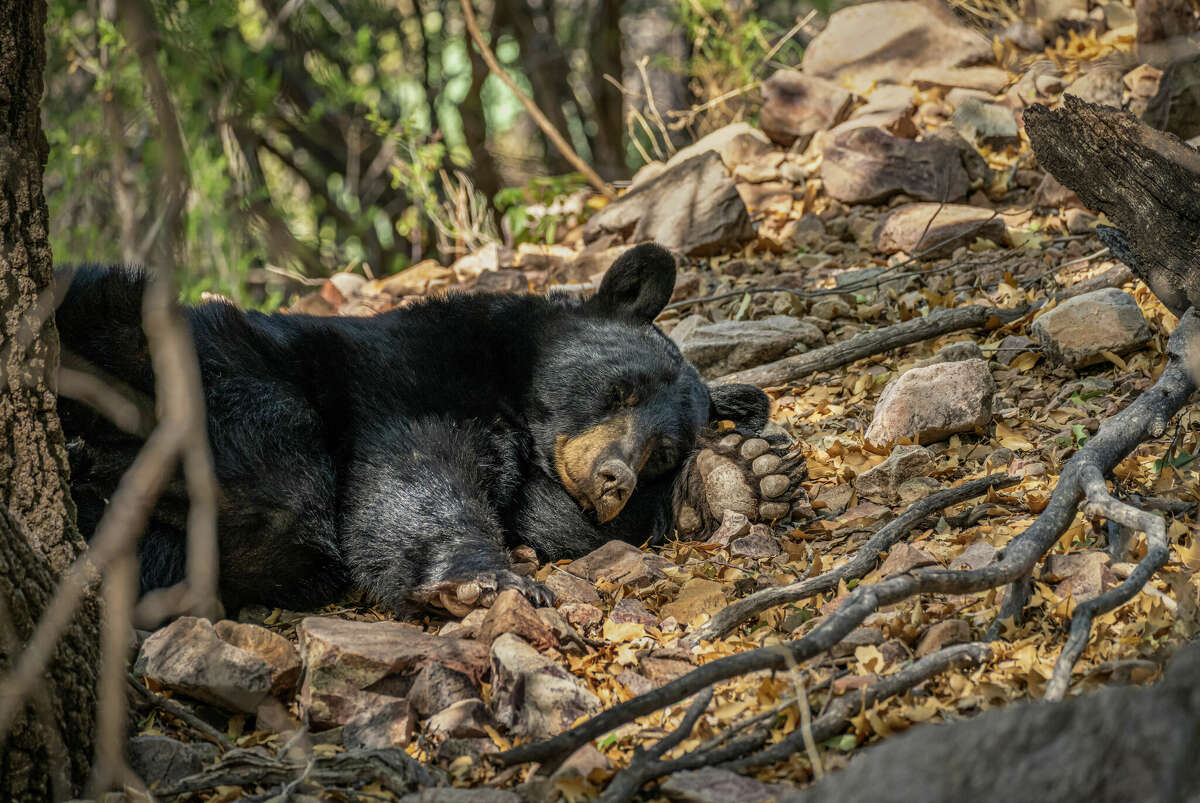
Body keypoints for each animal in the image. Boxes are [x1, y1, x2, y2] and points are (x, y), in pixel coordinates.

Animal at [58, 244, 806, 614]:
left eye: (663, 450)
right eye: (618, 390)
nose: (614, 477)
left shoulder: (542, 487)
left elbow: (569, 529)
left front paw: (744, 476)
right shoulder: (405, 379)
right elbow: (415, 470)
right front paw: (490, 579)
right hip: (135, 330)